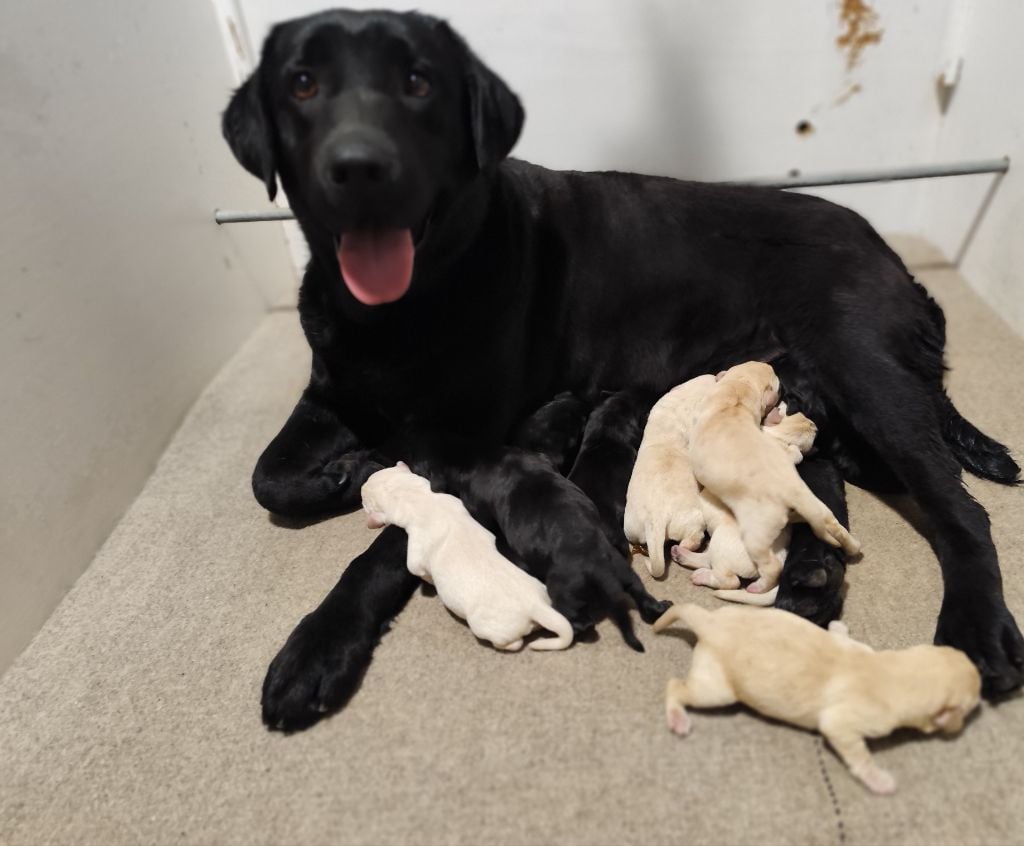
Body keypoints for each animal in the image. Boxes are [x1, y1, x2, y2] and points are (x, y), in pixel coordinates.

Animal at [360, 464, 573, 651]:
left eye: (364, 500)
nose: (361, 487)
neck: (416, 496)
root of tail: (536, 606)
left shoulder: (416, 550)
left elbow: (418, 569)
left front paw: (429, 581)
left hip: (487, 627)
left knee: (512, 642)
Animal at [655, 598, 983, 790]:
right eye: (970, 706)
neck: (893, 672)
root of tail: (708, 621)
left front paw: (837, 626)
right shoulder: (843, 725)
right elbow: (858, 754)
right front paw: (879, 780)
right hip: (716, 688)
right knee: (675, 686)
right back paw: (677, 718)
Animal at [675, 405, 819, 602]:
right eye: (801, 415)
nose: (815, 426)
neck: (777, 438)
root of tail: (781, 556)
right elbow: (795, 455)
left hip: (722, 543)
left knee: (730, 580)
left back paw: (702, 576)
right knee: (707, 559)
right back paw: (681, 555)